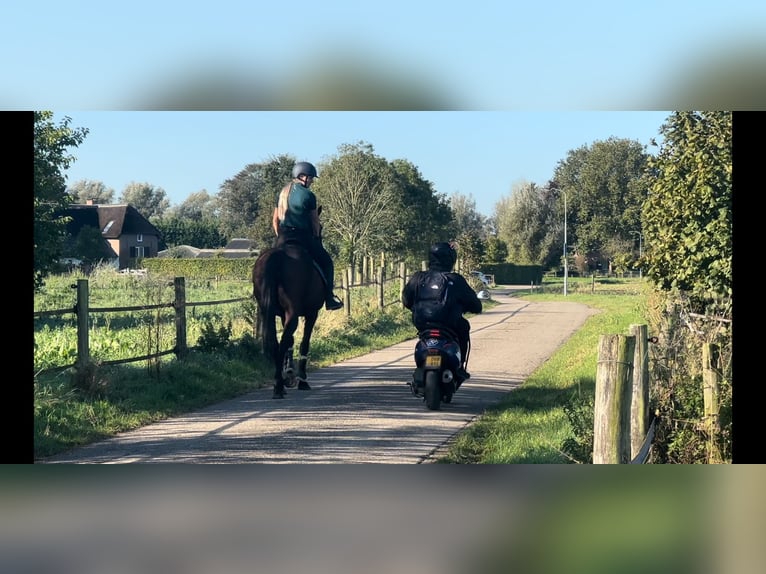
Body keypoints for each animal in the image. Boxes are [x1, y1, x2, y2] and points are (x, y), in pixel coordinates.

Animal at [252, 243, 324, 400]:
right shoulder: (312, 313)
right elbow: (304, 343)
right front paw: (302, 379)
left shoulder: (283, 315)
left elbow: (291, 341)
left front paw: (289, 371)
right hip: (294, 312)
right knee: (284, 341)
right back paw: (280, 386)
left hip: (268, 312)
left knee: (276, 343)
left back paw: (279, 383)